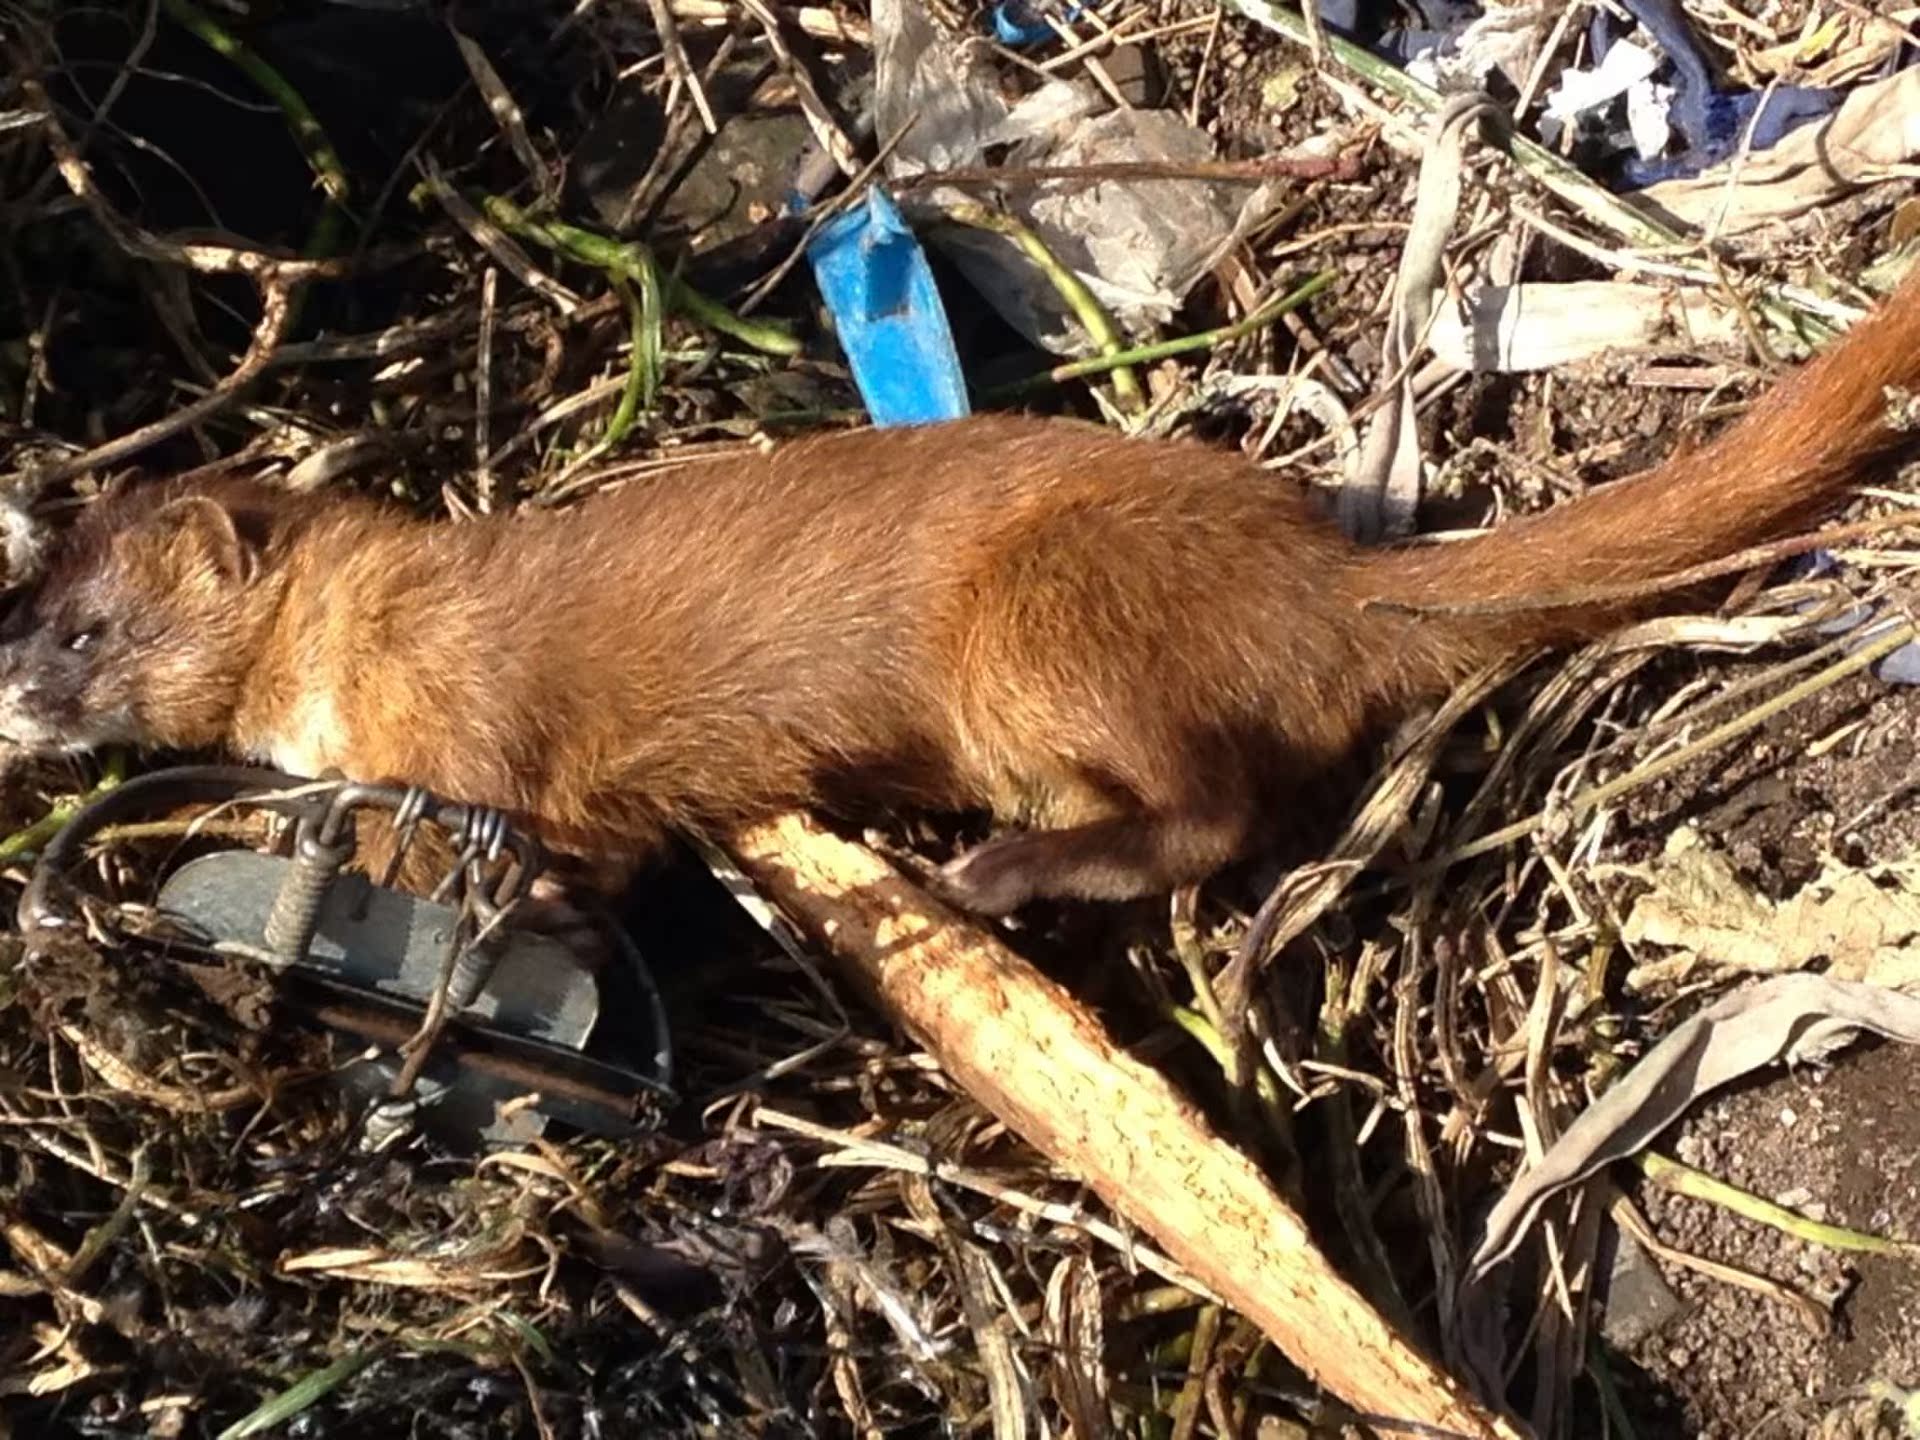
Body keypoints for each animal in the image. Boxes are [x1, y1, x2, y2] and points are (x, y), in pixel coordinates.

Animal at [11, 263, 1920, 913]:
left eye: (84, 626)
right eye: (21, 601)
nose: (19, 696)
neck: (372, 642)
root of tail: (1323, 562)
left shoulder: (469, 711)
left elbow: (484, 829)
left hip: (1037, 622)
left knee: (1207, 810)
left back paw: (1000, 874)